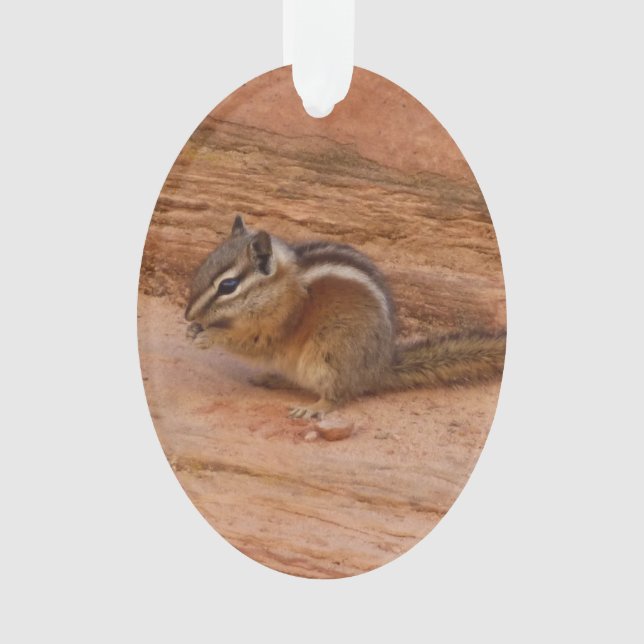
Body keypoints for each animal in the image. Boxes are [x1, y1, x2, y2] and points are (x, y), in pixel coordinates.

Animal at [185, 215, 505, 420]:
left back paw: (315, 408)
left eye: (228, 286)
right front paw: (193, 330)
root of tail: (377, 369)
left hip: (330, 352)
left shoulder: (279, 325)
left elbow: (253, 343)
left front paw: (209, 335)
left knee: (338, 395)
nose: (187, 314)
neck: (279, 287)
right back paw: (273, 378)